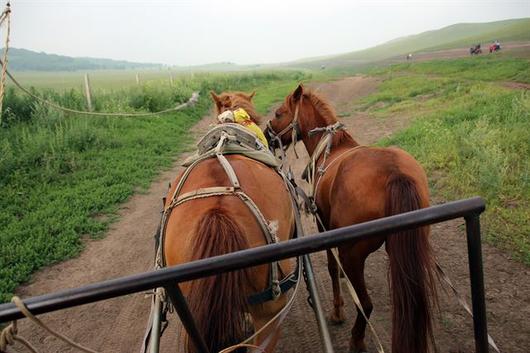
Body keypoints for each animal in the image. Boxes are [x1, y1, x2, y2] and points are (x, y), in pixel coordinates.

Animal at [264, 84, 438, 352]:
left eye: (279, 113)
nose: (266, 134)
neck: (331, 148)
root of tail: (395, 174)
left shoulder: (323, 225)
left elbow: (332, 267)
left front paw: (337, 310)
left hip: (353, 253)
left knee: (365, 304)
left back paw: (357, 338)